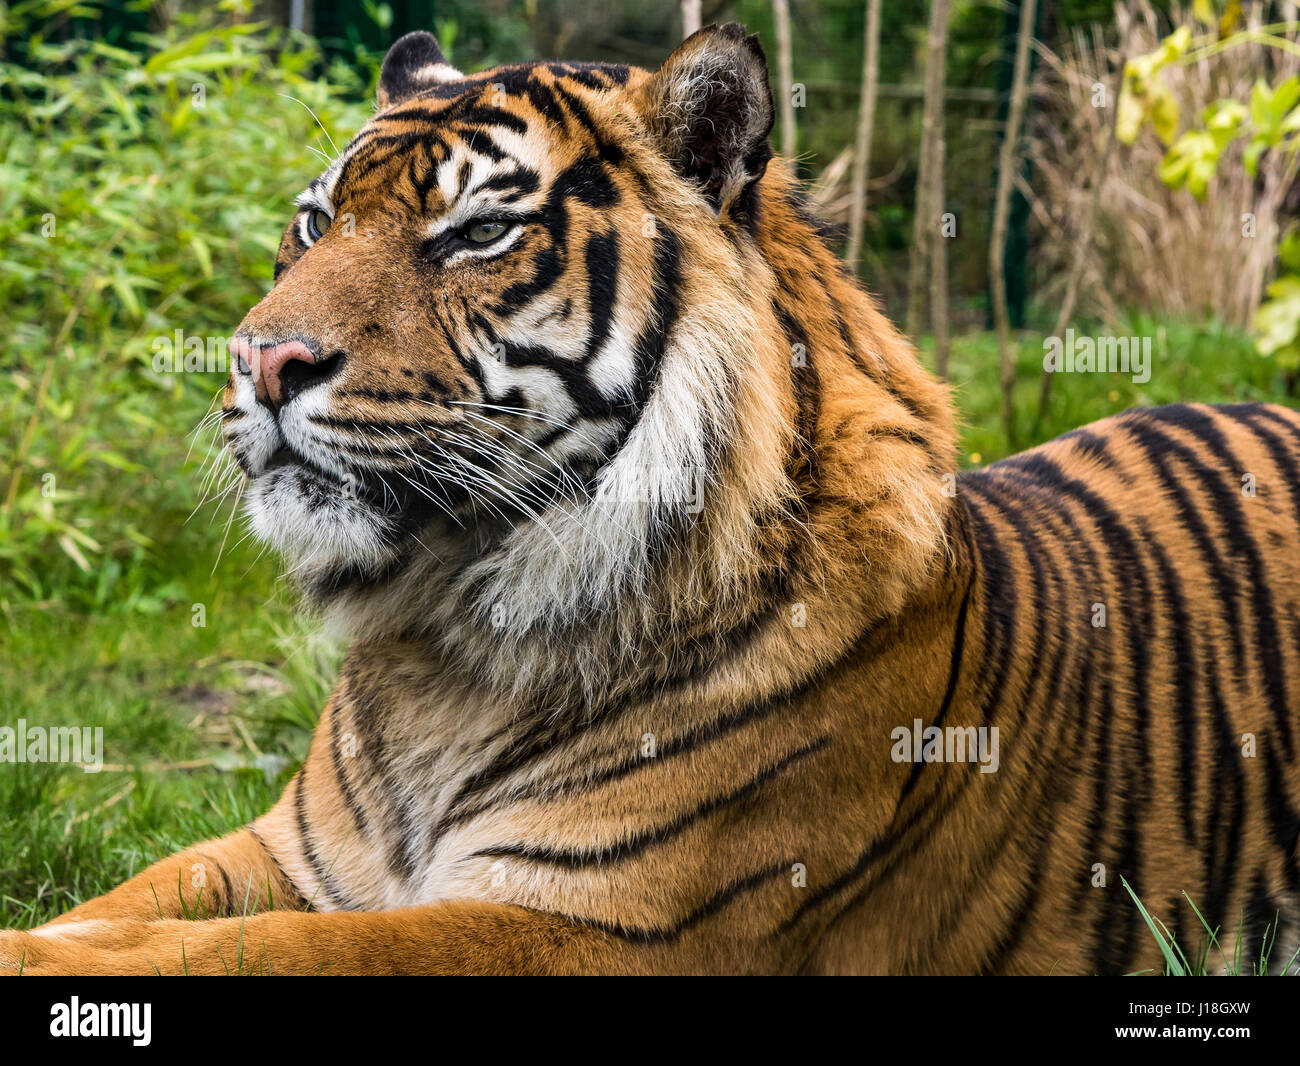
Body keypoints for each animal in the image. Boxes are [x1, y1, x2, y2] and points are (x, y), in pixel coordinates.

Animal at [2, 22, 1300, 972]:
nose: (258, 360)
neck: (438, 641)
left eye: (478, 232)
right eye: (315, 221)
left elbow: (252, 952)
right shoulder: (291, 851)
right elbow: (140, 901)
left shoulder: (598, 923)